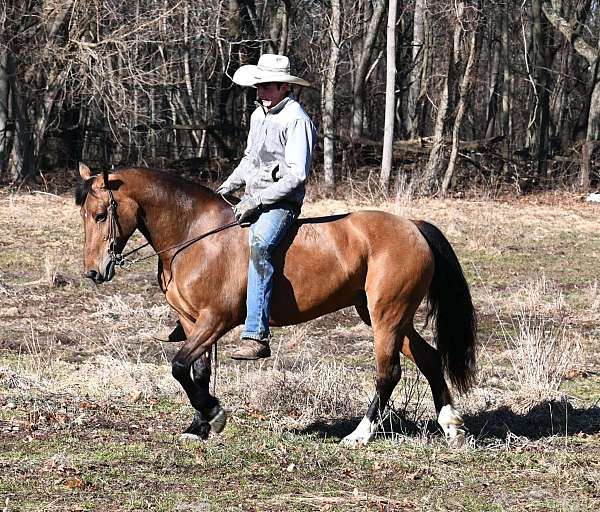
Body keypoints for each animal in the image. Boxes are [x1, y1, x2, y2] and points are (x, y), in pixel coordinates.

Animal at [76, 165, 478, 448]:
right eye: (84, 215)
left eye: (101, 215)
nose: (94, 271)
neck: (194, 236)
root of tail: (413, 226)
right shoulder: (191, 322)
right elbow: (197, 372)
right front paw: (199, 426)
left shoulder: (215, 320)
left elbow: (178, 367)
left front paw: (214, 415)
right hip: (390, 317)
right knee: (429, 359)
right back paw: (452, 427)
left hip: (387, 316)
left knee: (388, 373)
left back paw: (359, 435)